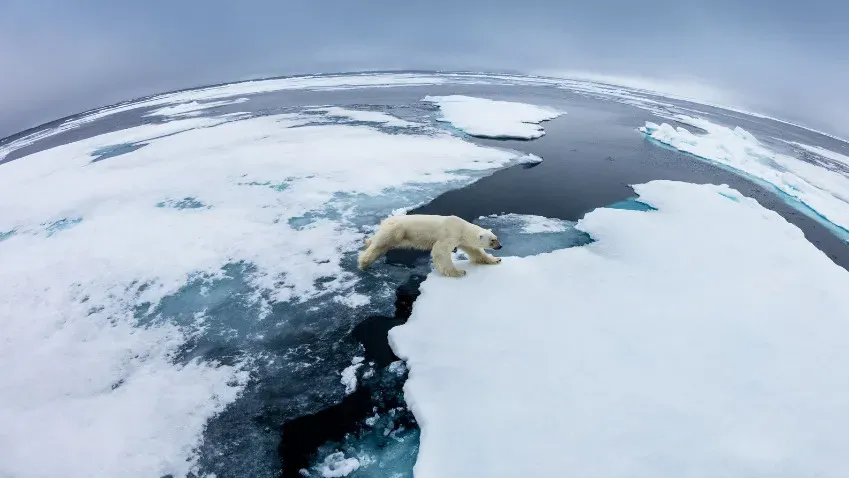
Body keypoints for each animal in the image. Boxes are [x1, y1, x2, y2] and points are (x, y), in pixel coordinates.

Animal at [356, 215, 500, 278]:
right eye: (492, 240)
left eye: (496, 238)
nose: (500, 246)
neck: (462, 228)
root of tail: (385, 221)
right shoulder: (449, 234)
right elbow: (440, 251)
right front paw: (459, 272)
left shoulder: (461, 239)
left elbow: (475, 251)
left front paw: (496, 259)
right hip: (395, 232)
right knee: (379, 246)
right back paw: (364, 263)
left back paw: (367, 242)